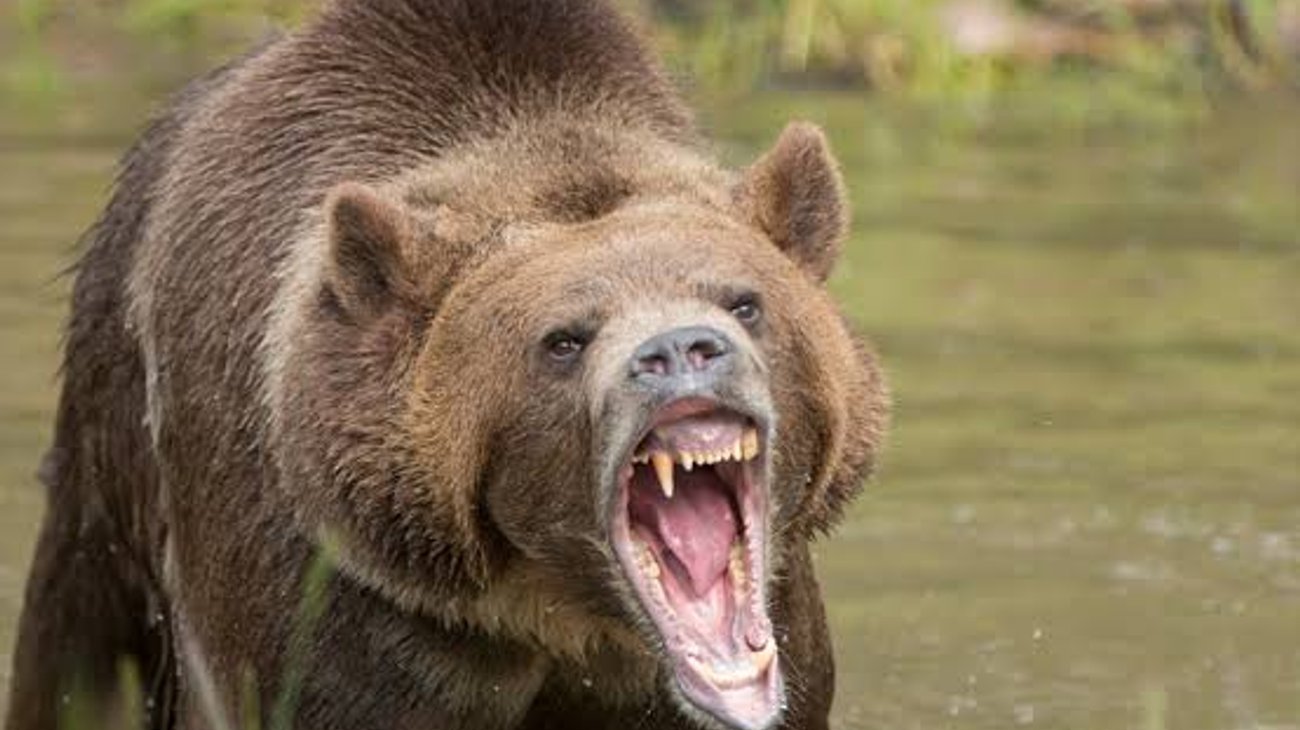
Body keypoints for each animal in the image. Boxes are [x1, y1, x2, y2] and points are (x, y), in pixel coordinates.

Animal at [4, 1, 889, 729]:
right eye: (563, 339)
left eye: (744, 302)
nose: (677, 350)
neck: (562, 611)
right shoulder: (348, 614)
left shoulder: (762, 633)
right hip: (112, 439)